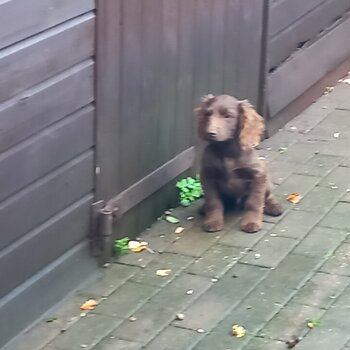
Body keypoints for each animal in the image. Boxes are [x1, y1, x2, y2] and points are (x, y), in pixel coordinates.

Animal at [196, 94, 284, 234]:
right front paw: (213, 221)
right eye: (208, 114)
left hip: (266, 180)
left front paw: (251, 222)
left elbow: (254, 202)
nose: (210, 133)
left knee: (268, 196)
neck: (226, 151)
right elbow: (213, 202)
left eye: (227, 116)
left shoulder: (258, 174)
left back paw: (274, 207)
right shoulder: (207, 176)